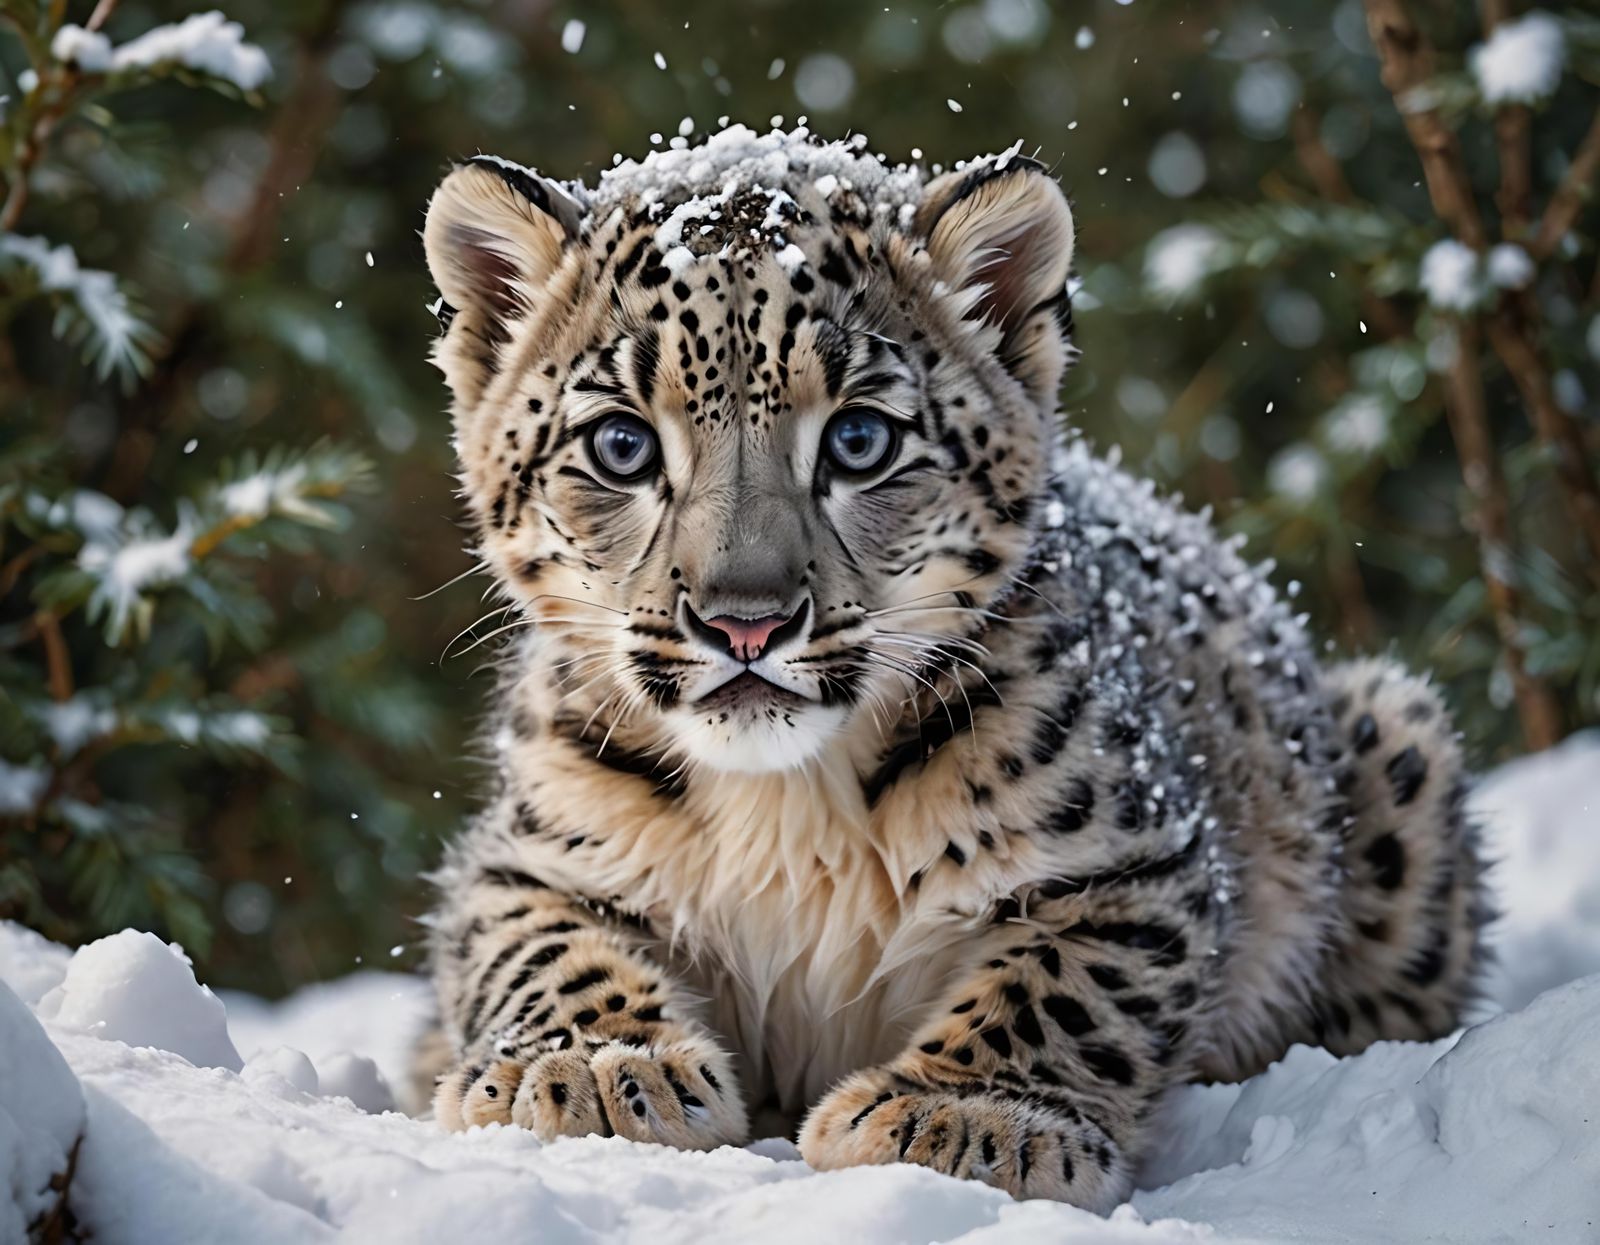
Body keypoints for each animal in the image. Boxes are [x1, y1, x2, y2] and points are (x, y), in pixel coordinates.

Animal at [411, 125, 1485, 1212]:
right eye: (623, 444)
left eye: (858, 438)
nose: (746, 622)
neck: (785, 811)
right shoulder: (529, 852)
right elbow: (540, 946)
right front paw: (586, 1067)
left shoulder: (1133, 857)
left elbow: (1064, 986)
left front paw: (960, 1116)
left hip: (1395, 745)